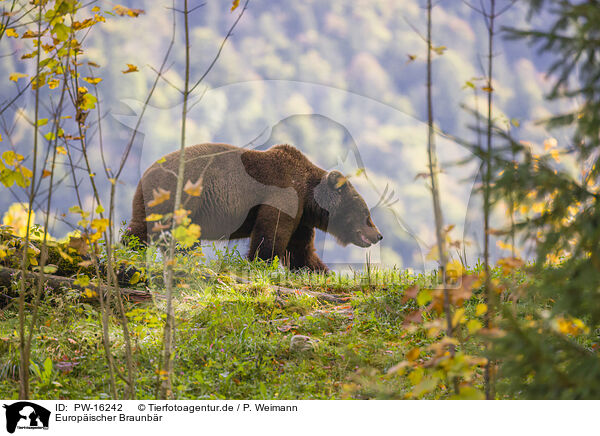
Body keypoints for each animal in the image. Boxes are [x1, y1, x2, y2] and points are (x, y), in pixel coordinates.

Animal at [126, 143, 382, 270]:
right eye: (365, 212)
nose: (378, 235)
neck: (309, 197)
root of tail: (146, 173)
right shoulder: (283, 194)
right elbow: (270, 236)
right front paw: (260, 261)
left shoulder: (301, 217)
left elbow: (300, 250)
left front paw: (319, 271)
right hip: (178, 198)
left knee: (144, 229)